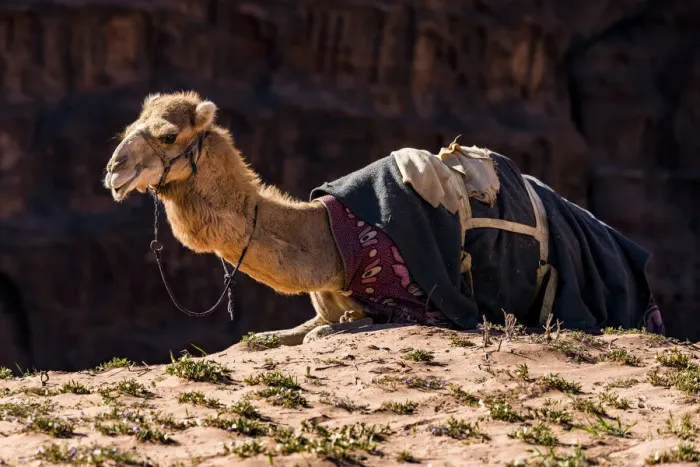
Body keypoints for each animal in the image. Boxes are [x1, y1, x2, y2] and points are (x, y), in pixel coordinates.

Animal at [104, 91, 665, 346]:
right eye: (129, 125)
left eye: (168, 134)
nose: (114, 171)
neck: (332, 237)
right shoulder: (325, 303)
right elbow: (265, 337)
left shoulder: (414, 307)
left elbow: (331, 332)